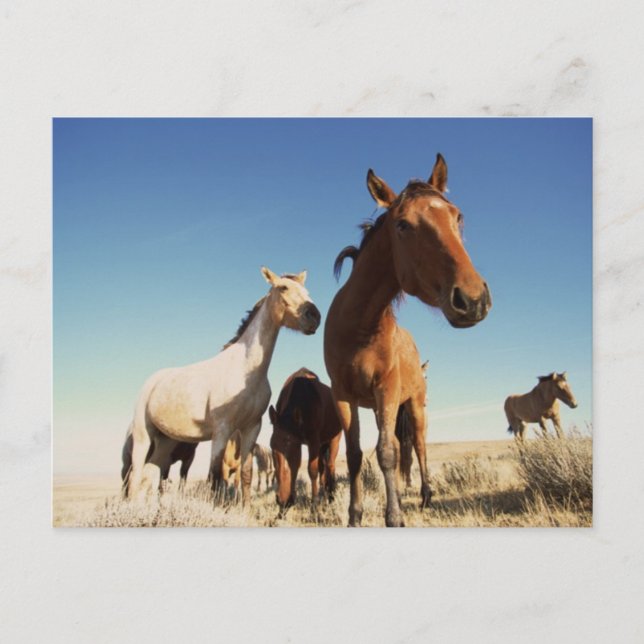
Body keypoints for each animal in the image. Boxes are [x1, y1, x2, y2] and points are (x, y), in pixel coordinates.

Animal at [125, 266, 321, 503]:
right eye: (283, 287)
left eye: (306, 291)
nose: (314, 317)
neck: (246, 370)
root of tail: (152, 382)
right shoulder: (221, 431)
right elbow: (216, 478)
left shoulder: (251, 428)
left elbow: (245, 474)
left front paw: (245, 508)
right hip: (143, 436)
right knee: (135, 476)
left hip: (166, 441)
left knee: (148, 476)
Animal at [268, 368, 342, 514]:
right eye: (271, 446)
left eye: (290, 444)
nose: (281, 499)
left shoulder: (313, 442)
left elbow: (312, 471)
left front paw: (314, 506)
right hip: (322, 445)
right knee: (323, 469)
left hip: (334, 440)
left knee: (330, 465)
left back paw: (331, 498)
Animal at [324, 154, 491, 527]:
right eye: (402, 225)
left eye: (457, 215)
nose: (473, 299)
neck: (359, 327)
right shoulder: (344, 395)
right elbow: (355, 455)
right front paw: (355, 516)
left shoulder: (385, 389)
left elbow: (386, 453)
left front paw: (394, 517)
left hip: (414, 406)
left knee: (419, 445)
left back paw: (426, 496)